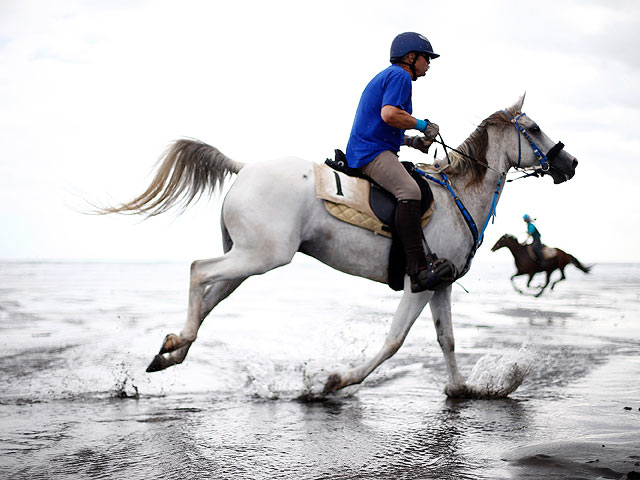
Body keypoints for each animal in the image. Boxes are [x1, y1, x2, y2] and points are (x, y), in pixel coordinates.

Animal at [101, 96, 580, 398]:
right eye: (534, 129)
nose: (570, 162)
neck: (455, 195)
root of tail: (246, 168)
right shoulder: (420, 283)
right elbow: (394, 341)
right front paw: (337, 382)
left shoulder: (440, 285)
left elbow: (447, 340)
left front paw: (461, 389)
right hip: (260, 257)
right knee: (198, 270)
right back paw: (177, 341)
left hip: (247, 259)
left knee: (209, 296)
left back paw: (171, 351)